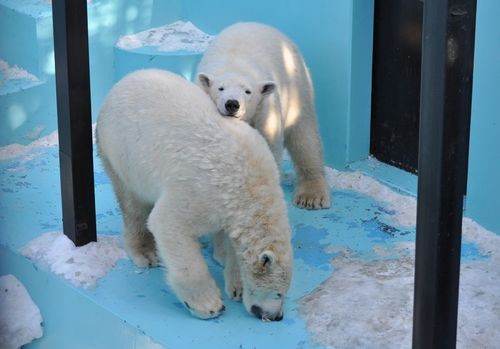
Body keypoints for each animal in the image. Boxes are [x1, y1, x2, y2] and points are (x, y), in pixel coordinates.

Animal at [96, 68, 292, 320]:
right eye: (279, 293)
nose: (277, 316)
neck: (248, 186)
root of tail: (121, 83)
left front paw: (236, 286)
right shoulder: (202, 192)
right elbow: (169, 225)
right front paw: (208, 304)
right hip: (121, 152)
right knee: (133, 206)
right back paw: (145, 253)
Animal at [196, 23, 332, 211]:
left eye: (248, 91)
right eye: (220, 88)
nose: (232, 104)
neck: (234, 64)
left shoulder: (265, 111)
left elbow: (268, 149)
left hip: (297, 85)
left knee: (304, 136)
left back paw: (311, 196)